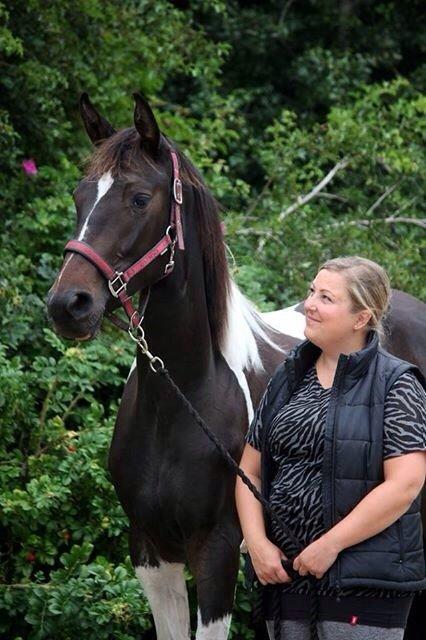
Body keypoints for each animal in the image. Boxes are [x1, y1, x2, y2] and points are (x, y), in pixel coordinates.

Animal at [47, 92, 426, 636]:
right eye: (80, 197)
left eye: (139, 198)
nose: (68, 304)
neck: (181, 398)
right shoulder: (152, 553)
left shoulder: (217, 551)